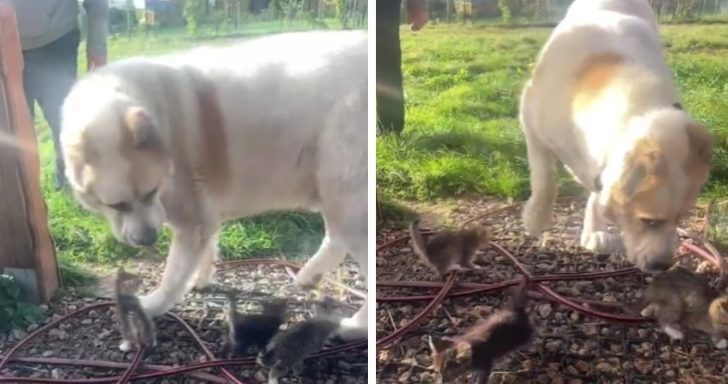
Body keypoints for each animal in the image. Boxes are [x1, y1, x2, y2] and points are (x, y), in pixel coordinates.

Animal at [60, 31, 370, 340]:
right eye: (116, 205)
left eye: (151, 193)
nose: (147, 239)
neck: (163, 124)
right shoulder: (202, 218)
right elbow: (206, 248)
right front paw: (202, 278)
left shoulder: (191, 221)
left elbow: (173, 275)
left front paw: (150, 305)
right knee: (334, 240)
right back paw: (309, 275)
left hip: (344, 196)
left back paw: (356, 326)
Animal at [520, 0, 712, 272]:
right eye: (648, 221)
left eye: (681, 218)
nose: (663, 265)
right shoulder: (530, 117)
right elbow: (544, 178)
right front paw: (536, 218)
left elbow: (598, 191)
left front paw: (594, 233)